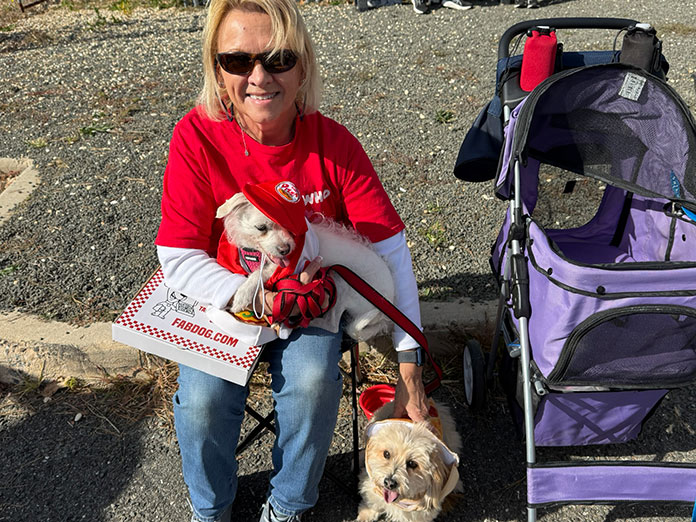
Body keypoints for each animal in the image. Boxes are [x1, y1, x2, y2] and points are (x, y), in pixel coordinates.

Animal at [213, 191, 396, 342]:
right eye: (261, 227)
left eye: (290, 227)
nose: (286, 249)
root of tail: (386, 309)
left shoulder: (285, 267)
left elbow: (260, 274)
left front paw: (243, 294)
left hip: (342, 282)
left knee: (334, 325)